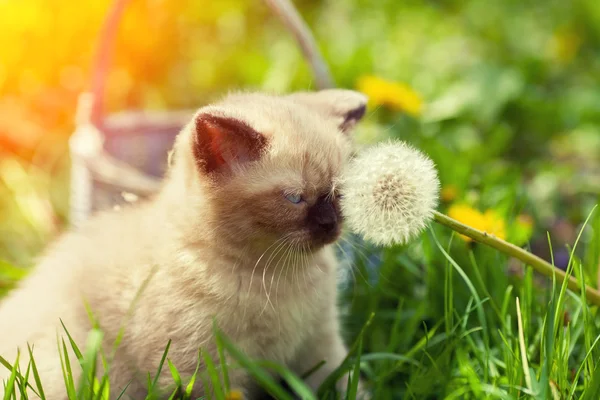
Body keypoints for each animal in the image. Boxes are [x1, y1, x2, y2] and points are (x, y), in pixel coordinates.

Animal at [0, 89, 366, 398]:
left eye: (340, 193)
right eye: (294, 198)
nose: (330, 225)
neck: (278, 277)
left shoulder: (319, 346)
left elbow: (346, 384)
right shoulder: (206, 370)